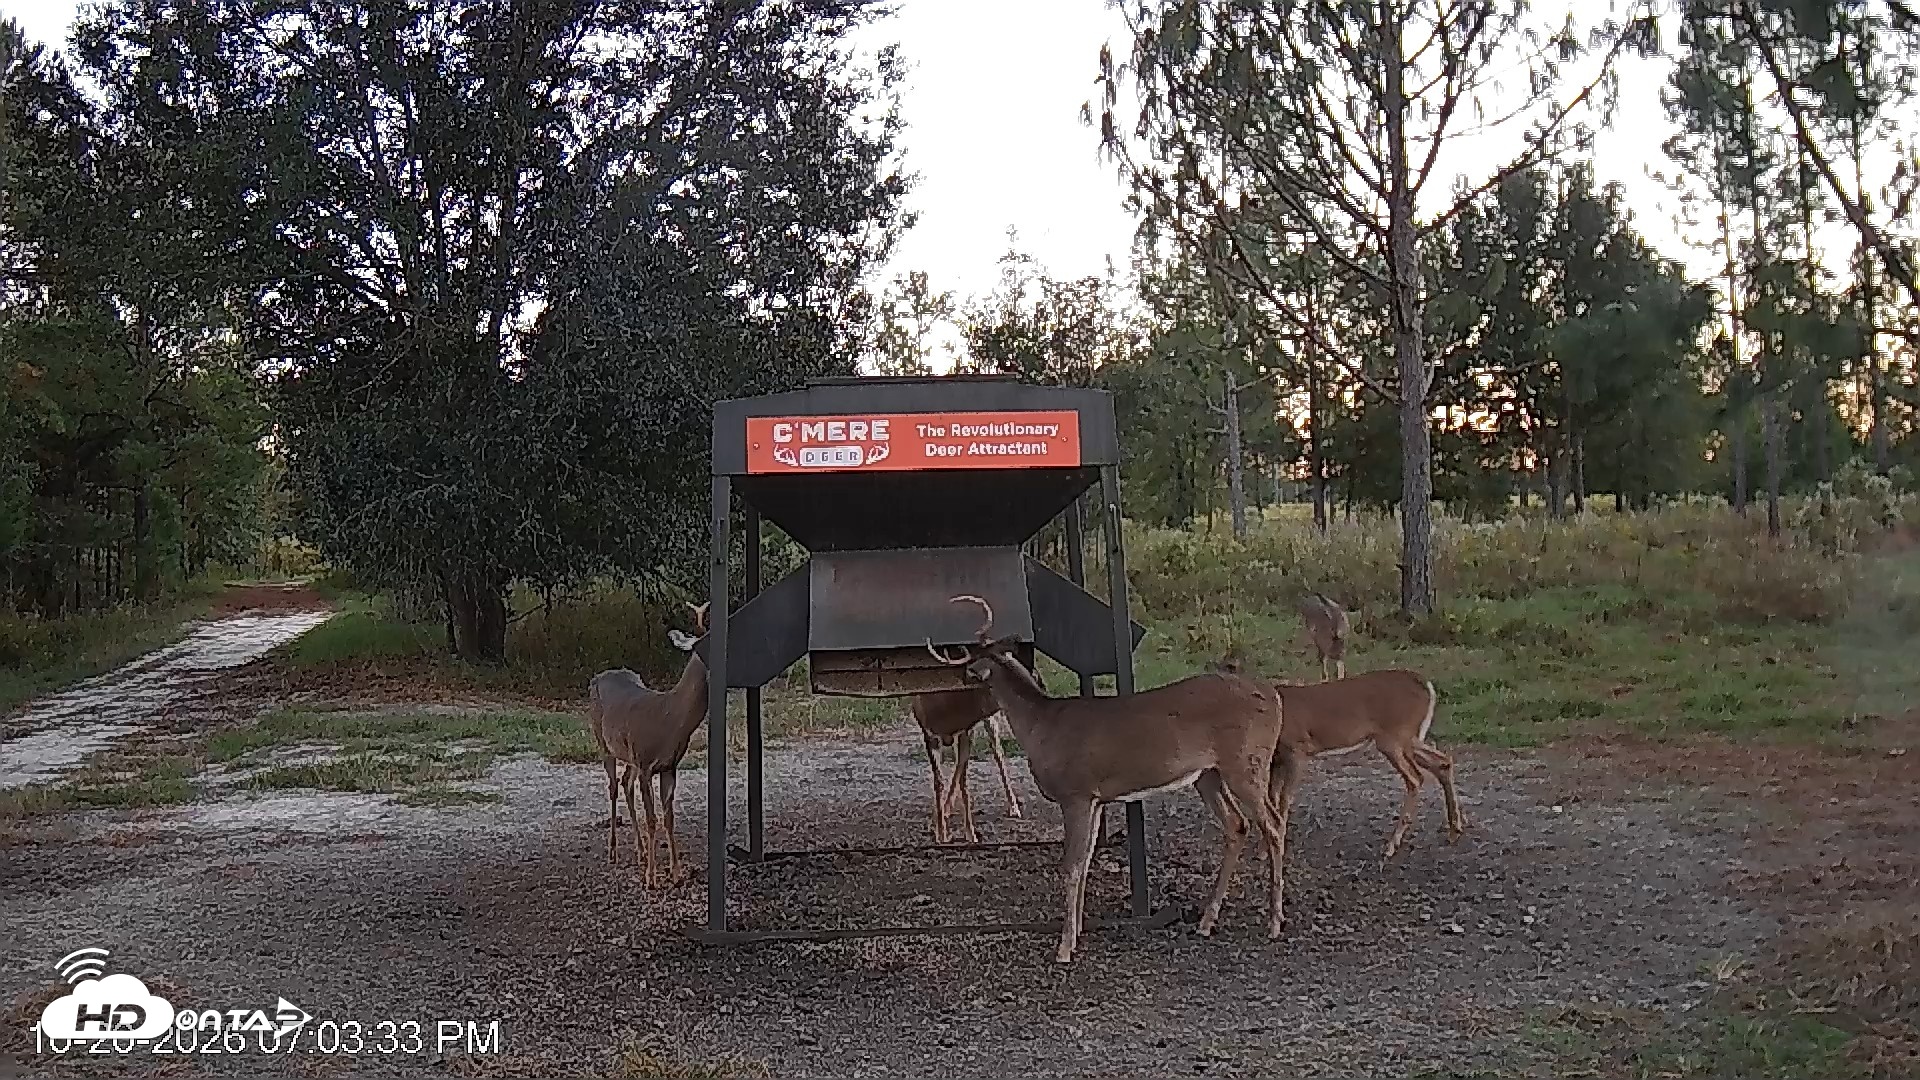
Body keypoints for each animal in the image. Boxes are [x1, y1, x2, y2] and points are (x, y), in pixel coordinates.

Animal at [586, 601, 710, 889]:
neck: (671, 719)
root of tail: (598, 676)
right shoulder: (645, 763)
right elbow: (652, 819)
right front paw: (651, 878)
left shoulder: (669, 766)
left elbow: (669, 818)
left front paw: (676, 874)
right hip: (603, 742)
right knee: (612, 787)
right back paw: (613, 851)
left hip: (629, 753)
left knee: (624, 783)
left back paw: (641, 851)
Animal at [909, 689, 1023, 844]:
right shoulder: (929, 735)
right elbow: (939, 782)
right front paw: (941, 834)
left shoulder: (965, 731)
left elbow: (964, 784)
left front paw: (971, 834)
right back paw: (946, 809)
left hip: (986, 723)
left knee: (997, 751)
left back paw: (1014, 807)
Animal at [928, 595, 1290, 963]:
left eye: (972, 674)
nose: (961, 683)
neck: (1041, 726)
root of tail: (1274, 695)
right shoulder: (1096, 798)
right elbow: (1086, 859)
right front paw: (1077, 931)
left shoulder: (1075, 792)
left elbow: (1071, 865)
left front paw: (1064, 946)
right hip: (1208, 773)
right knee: (1238, 825)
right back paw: (1206, 921)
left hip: (1245, 762)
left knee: (1273, 824)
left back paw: (1274, 923)